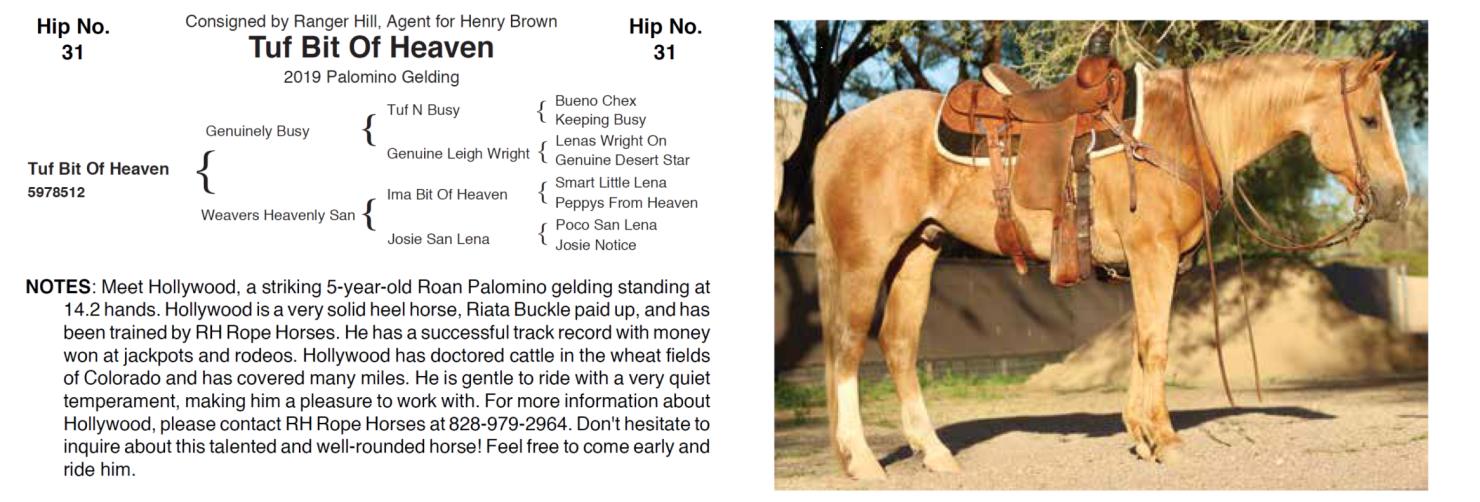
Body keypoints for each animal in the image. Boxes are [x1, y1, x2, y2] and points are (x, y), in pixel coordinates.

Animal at [810, 52, 1409, 479]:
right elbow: (1156, 344)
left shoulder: (1154, 262)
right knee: (849, 343)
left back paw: (933, 453)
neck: (1183, 132)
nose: (1397, 197)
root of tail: (837, 133)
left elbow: (1142, 342)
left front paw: (1141, 437)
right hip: (867, 257)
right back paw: (863, 460)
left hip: (918, 251)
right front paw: (1165, 439)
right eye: (1369, 120)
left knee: (899, 344)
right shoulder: (1153, 252)